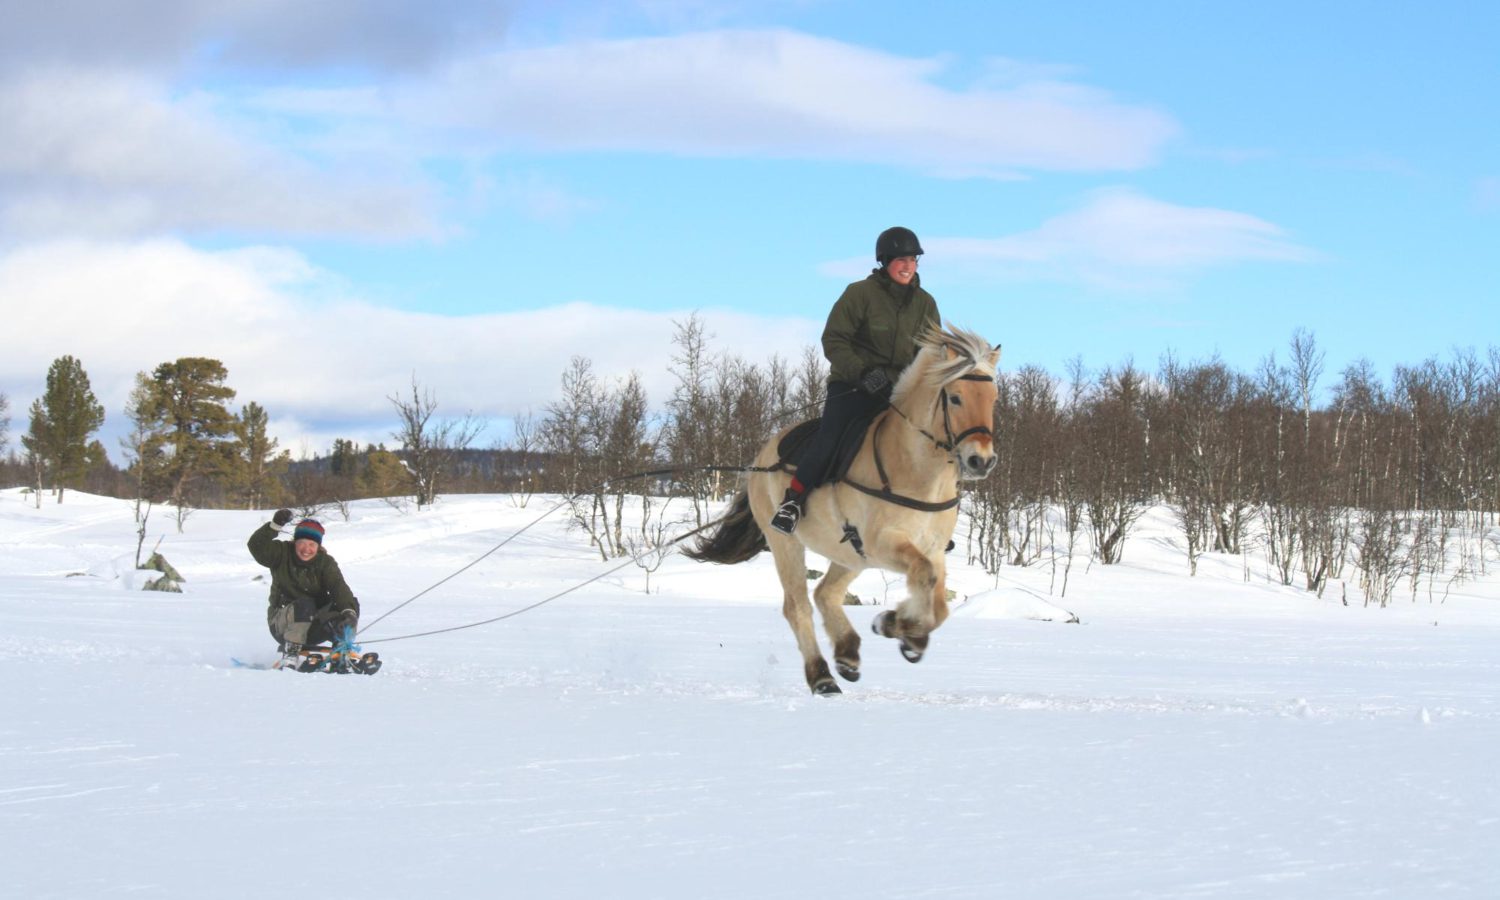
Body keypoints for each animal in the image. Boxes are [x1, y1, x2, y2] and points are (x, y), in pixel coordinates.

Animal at [687, 325, 996, 696]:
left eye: (993, 399)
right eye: (955, 398)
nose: (982, 461)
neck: (919, 472)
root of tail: (760, 460)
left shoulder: (932, 550)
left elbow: (940, 605)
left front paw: (904, 631)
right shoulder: (883, 543)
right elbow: (924, 577)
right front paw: (897, 624)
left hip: (851, 555)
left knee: (825, 593)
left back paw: (847, 653)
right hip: (788, 544)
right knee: (798, 605)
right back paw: (822, 676)